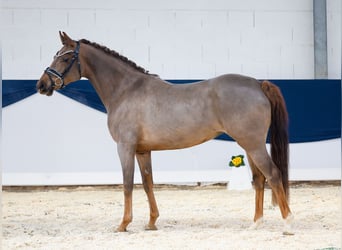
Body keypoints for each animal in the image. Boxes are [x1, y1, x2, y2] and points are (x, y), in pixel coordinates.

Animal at [37, 31, 294, 234]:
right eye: (56, 54)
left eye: (66, 57)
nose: (42, 85)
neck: (126, 90)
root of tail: (257, 84)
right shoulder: (142, 151)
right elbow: (148, 183)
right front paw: (152, 222)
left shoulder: (125, 147)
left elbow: (127, 184)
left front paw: (123, 224)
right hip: (248, 145)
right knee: (259, 179)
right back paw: (256, 223)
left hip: (253, 144)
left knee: (273, 174)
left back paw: (287, 223)